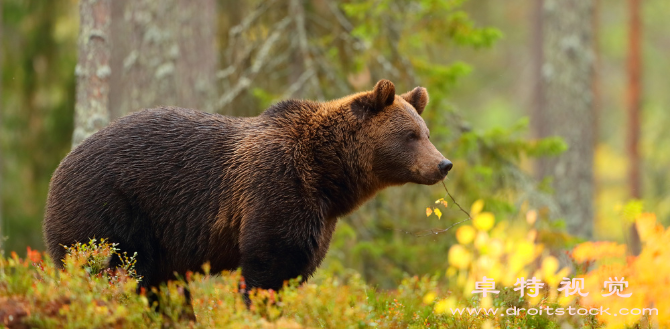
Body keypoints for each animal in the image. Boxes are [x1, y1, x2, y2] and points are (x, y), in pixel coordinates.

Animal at [40, 79, 452, 294]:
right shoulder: (274, 188)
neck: (327, 176)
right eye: (410, 135)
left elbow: (296, 269)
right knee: (109, 270)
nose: (443, 164)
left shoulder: (318, 220)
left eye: (426, 133)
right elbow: (267, 266)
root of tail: (57, 170)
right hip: (107, 213)